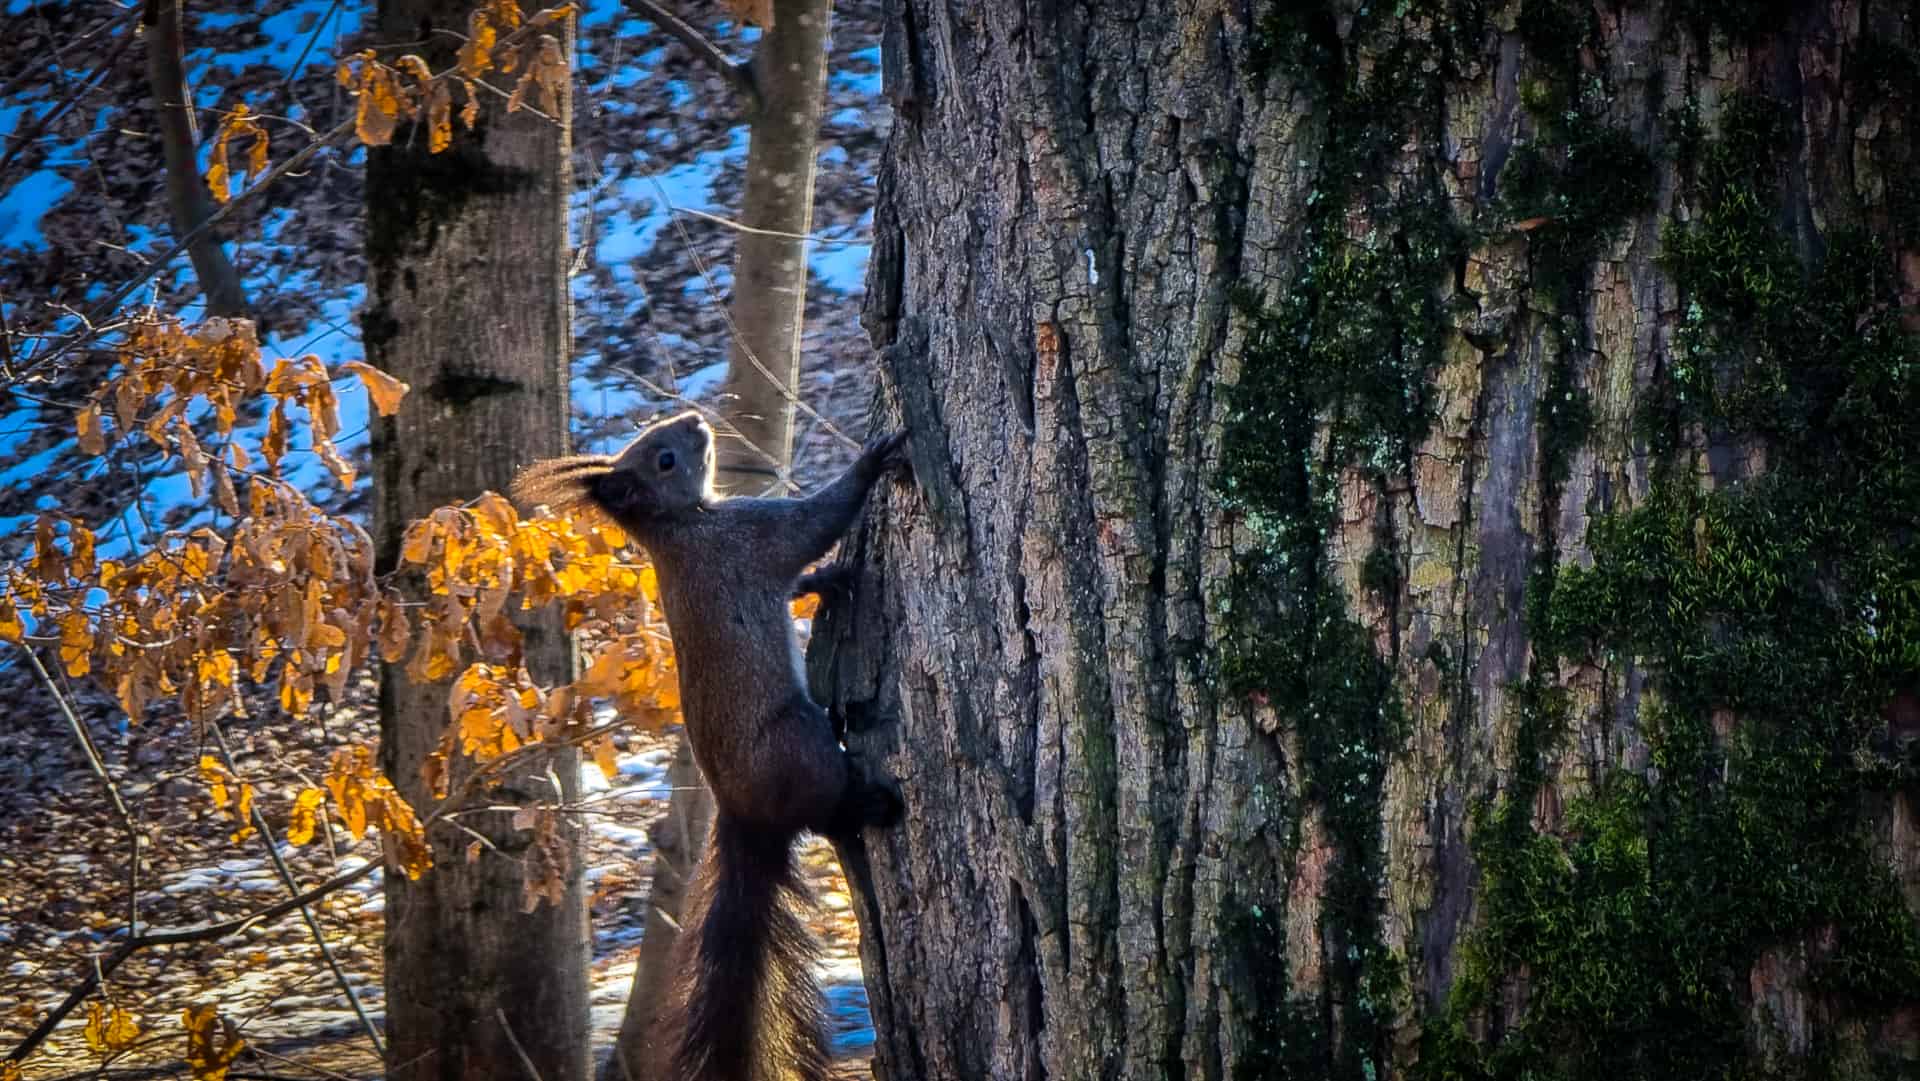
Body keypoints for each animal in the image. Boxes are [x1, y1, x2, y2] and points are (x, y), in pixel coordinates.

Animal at [514, 412, 910, 1081]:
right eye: (665, 460)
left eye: (660, 441)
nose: (696, 419)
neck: (681, 527)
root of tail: (748, 818)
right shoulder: (747, 539)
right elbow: (814, 523)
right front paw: (872, 461)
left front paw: (828, 579)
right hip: (799, 742)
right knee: (829, 810)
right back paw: (873, 804)